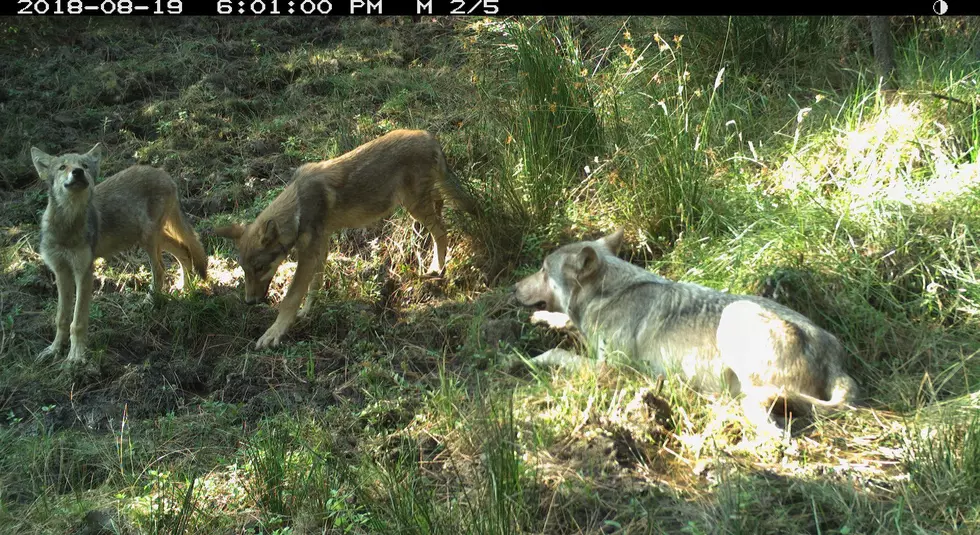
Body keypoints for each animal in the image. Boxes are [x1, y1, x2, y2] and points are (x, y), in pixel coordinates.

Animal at [32, 142, 208, 368]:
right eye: (63, 167)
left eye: (84, 166)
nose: (77, 172)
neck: (67, 228)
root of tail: (163, 173)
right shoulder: (61, 273)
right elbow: (61, 319)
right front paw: (54, 350)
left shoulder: (84, 274)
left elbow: (77, 322)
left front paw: (75, 358)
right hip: (151, 237)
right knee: (184, 251)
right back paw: (185, 291)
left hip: (149, 239)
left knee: (161, 270)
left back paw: (151, 303)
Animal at [214, 127, 478, 350]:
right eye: (244, 269)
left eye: (260, 268)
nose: (249, 302)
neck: (298, 206)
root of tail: (429, 136)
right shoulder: (320, 245)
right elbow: (314, 285)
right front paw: (306, 313)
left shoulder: (308, 253)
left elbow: (291, 296)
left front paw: (274, 333)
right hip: (418, 202)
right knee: (441, 204)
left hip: (414, 205)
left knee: (442, 230)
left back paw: (436, 268)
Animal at [512, 229, 856, 432]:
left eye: (543, 269)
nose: (513, 288)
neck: (609, 294)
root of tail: (836, 358)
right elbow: (566, 322)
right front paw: (543, 318)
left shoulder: (611, 369)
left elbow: (555, 351)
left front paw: (525, 359)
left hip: (735, 318)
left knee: (763, 410)